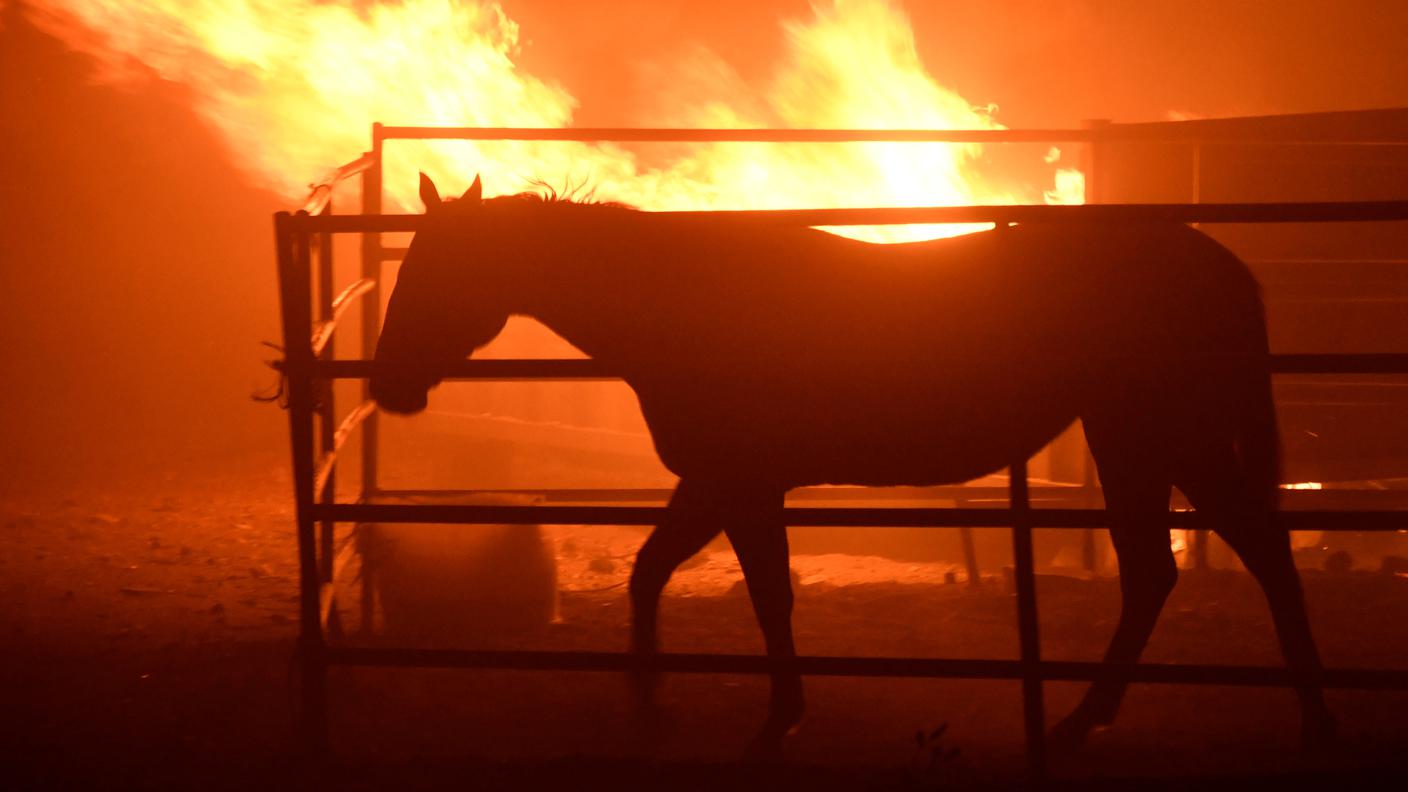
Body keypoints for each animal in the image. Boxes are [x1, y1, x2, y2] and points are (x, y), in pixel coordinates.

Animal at [368, 171, 1334, 749]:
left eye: (437, 271)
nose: (386, 383)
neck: (686, 302)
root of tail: (1210, 257)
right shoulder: (714, 482)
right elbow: (651, 573)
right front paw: (650, 703)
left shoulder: (740, 483)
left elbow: (766, 595)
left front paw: (776, 719)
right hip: (1142, 439)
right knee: (1174, 568)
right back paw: (1095, 718)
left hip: (1161, 435)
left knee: (1241, 558)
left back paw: (1294, 714)